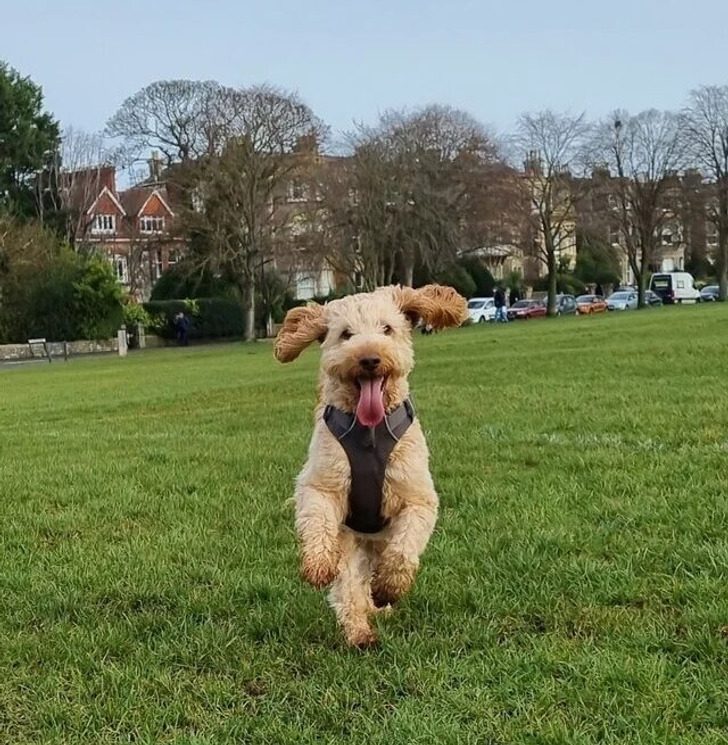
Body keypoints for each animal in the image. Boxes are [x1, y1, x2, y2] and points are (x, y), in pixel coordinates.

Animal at [272, 284, 466, 644]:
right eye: (346, 334)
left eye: (387, 329)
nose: (370, 359)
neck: (370, 433)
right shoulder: (321, 482)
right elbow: (318, 521)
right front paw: (318, 564)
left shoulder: (417, 496)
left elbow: (404, 547)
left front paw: (390, 587)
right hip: (351, 540)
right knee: (350, 586)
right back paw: (360, 633)